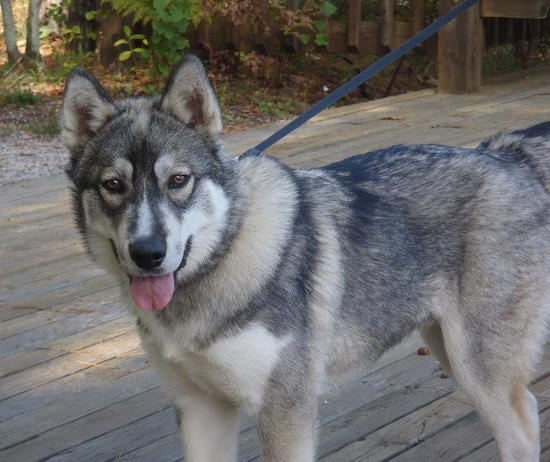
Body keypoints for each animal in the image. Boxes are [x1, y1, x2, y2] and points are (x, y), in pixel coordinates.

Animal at [61, 55, 550, 462]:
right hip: (452, 353)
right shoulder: (201, 410)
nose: (147, 253)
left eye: (178, 180)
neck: (224, 258)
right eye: (113, 185)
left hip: (477, 367)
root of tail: (506, 155)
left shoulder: (284, 413)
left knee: (523, 422)